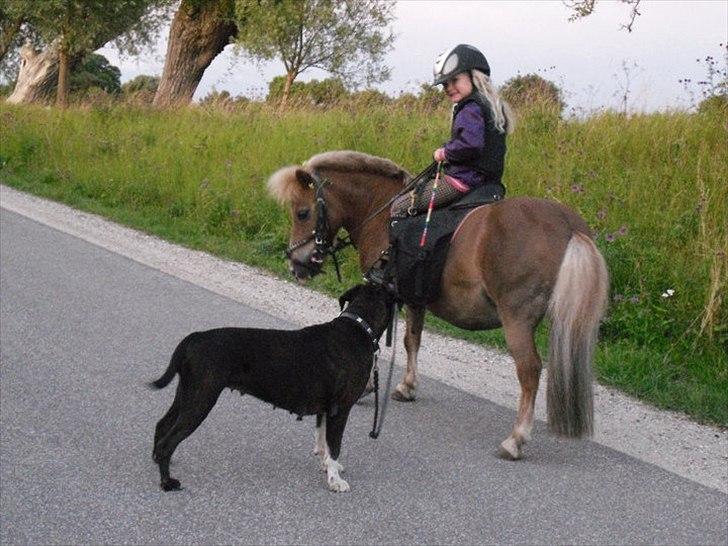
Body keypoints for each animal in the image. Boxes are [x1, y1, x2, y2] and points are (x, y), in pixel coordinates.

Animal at [150, 282, 396, 490]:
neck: (359, 327)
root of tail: (193, 339)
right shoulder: (340, 410)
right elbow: (334, 446)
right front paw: (335, 481)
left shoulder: (326, 410)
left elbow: (323, 441)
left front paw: (327, 466)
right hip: (201, 399)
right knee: (168, 440)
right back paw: (167, 482)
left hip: (187, 393)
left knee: (162, 425)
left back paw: (158, 461)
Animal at [268, 150, 608, 460]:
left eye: (302, 213)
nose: (295, 264)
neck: (382, 214)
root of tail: (569, 227)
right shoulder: (415, 299)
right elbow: (412, 340)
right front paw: (407, 387)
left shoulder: (385, 294)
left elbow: (381, 339)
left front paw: (369, 387)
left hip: (517, 319)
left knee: (530, 370)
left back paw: (516, 439)